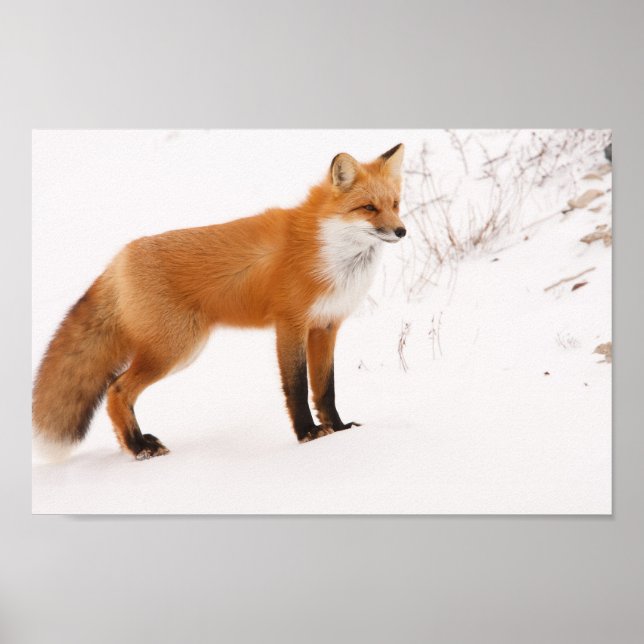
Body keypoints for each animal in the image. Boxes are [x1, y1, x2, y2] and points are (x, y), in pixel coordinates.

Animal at [32, 143, 406, 461]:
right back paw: (139, 448)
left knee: (118, 391)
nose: (402, 231)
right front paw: (308, 435)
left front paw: (339, 430)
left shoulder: (326, 326)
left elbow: (326, 389)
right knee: (116, 389)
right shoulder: (290, 323)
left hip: (178, 351)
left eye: (395, 205)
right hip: (174, 349)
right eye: (368, 208)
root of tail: (120, 258)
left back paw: (137, 443)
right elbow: (297, 388)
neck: (329, 250)